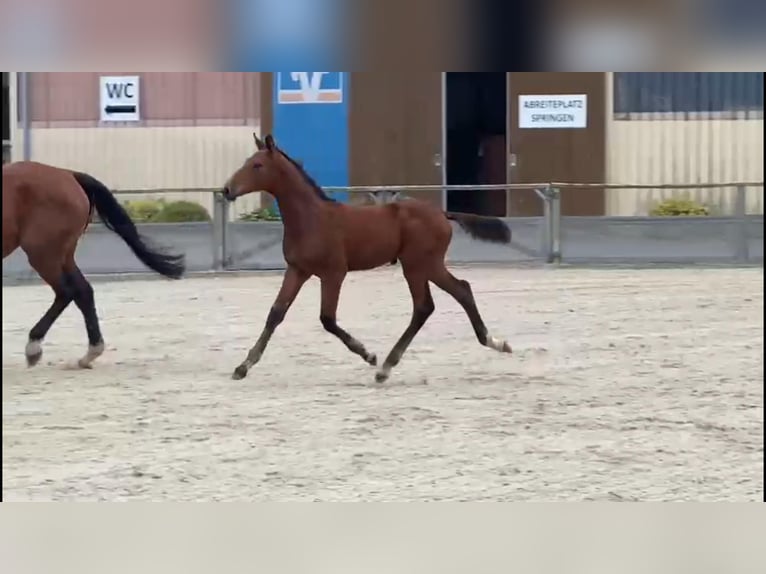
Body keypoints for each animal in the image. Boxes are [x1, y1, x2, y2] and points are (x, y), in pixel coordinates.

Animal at [1, 162, 187, 368]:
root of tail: (68, 174)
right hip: (62, 255)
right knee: (83, 292)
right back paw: (90, 353)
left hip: (44, 254)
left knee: (66, 292)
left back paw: (34, 347)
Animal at [222, 135, 512, 384]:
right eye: (247, 162)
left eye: (257, 165)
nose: (226, 189)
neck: (312, 219)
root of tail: (442, 213)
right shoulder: (297, 270)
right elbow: (275, 313)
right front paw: (243, 366)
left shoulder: (334, 273)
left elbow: (327, 318)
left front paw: (368, 355)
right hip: (424, 266)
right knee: (454, 294)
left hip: (419, 265)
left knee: (430, 304)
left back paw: (386, 367)